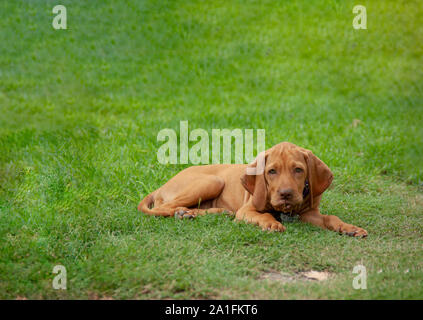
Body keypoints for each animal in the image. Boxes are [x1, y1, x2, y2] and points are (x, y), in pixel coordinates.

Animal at [138, 141, 368, 236]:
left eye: (298, 170)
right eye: (272, 171)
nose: (286, 194)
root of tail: (161, 187)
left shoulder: (309, 213)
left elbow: (331, 218)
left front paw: (349, 227)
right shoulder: (246, 210)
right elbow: (262, 215)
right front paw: (271, 223)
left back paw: (196, 213)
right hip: (213, 181)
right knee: (164, 208)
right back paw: (185, 212)